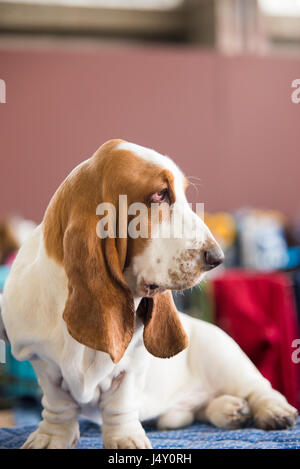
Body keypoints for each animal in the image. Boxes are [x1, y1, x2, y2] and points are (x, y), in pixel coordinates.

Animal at [0, 139, 298, 446]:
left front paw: (125, 440)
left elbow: (120, 405)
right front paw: (52, 438)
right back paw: (230, 409)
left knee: (259, 387)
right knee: (202, 407)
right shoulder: (41, 361)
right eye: (160, 195)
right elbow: (58, 404)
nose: (217, 258)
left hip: (222, 354)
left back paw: (273, 410)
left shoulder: (132, 365)